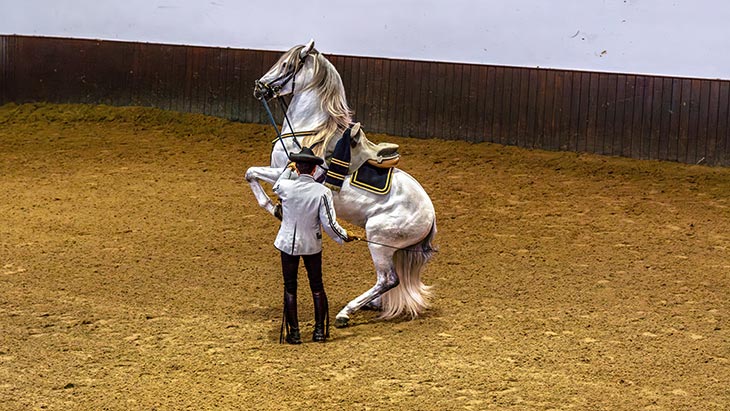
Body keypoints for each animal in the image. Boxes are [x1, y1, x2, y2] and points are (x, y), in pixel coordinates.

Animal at [245, 40, 437, 328]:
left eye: (286, 65)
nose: (259, 87)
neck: (310, 132)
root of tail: (430, 216)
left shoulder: (282, 173)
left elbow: (251, 174)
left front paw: (274, 207)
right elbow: (251, 174)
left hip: (377, 239)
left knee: (388, 279)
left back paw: (346, 312)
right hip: (389, 248)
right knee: (391, 281)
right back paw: (372, 304)